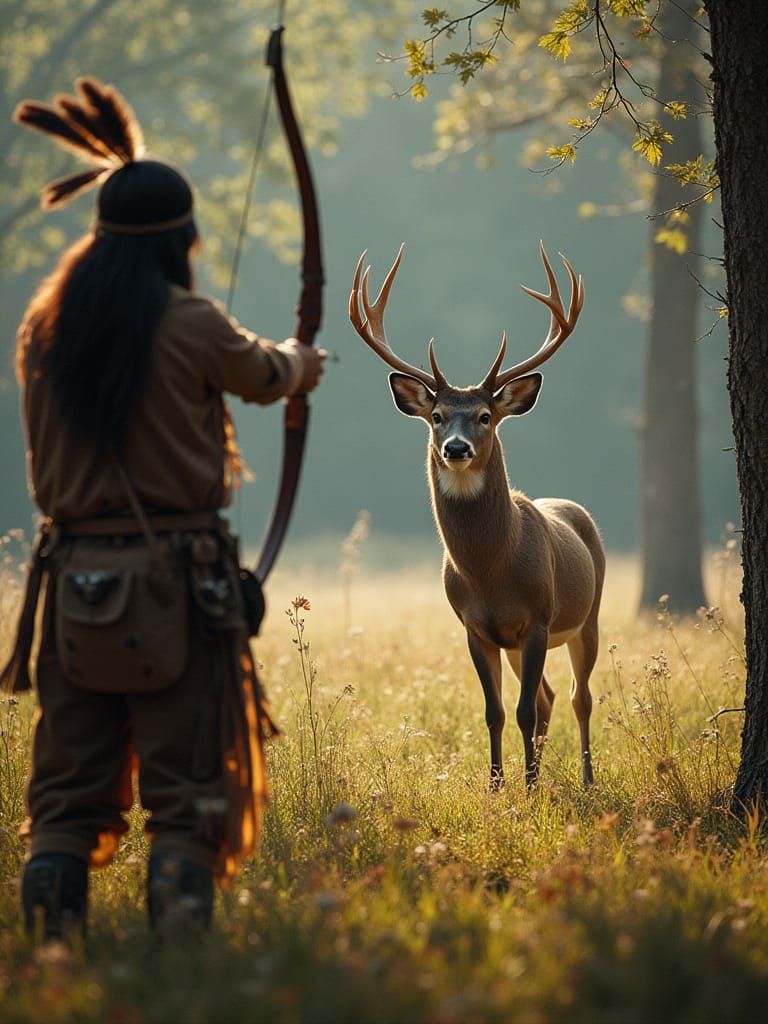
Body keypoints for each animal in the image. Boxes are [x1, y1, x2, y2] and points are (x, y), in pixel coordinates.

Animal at [349, 242, 604, 790]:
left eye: (485, 416)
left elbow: (524, 709)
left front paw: (528, 789)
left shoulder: (538, 617)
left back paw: (588, 778)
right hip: (517, 642)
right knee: (551, 697)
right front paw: (499, 786)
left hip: (587, 616)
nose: (456, 448)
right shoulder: (474, 626)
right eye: (437, 416)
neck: (491, 571)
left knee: (580, 697)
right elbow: (496, 712)